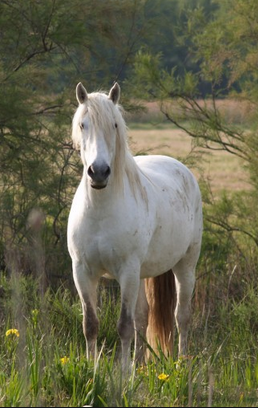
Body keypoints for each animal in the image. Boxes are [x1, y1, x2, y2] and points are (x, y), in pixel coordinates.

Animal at [67, 81, 203, 372]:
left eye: (115, 125)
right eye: (83, 124)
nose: (99, 172)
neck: (101, 212)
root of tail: (180, 168)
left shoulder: (127, 272)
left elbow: (124, 326)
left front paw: (122, 374)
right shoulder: (82, 272)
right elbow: (91, 324)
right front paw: (93, 370)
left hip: (185, 266)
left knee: (182, 316)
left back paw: (181, 365)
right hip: (142, 274)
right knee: (144, 316)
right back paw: (139, 367)